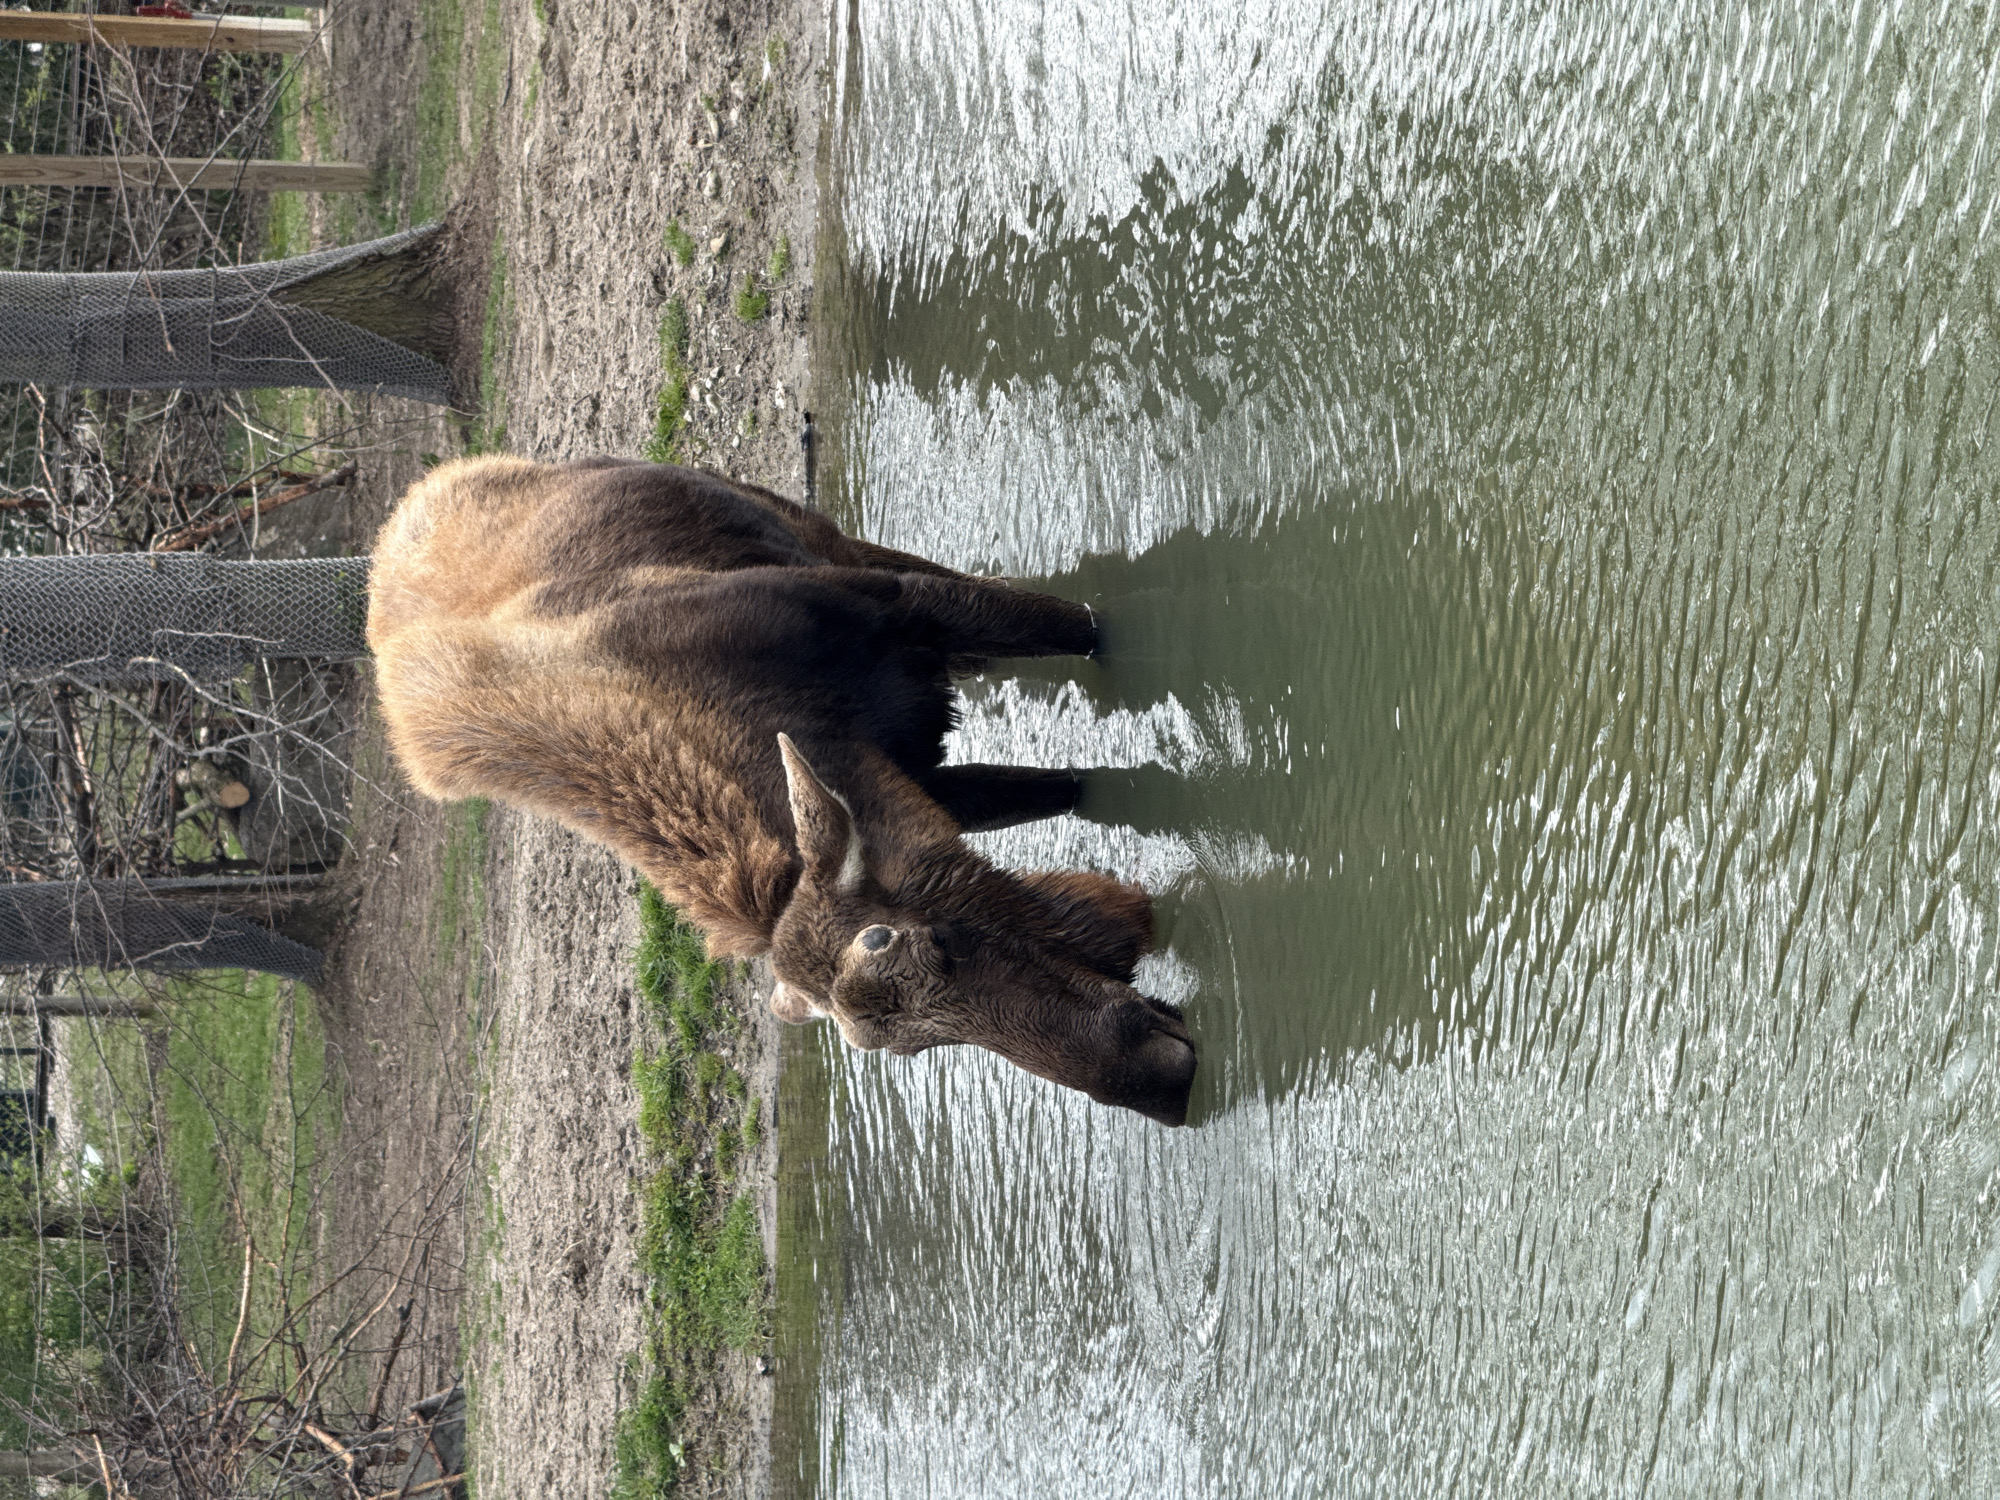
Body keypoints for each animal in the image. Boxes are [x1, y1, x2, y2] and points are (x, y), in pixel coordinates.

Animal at [366, 456, 1197, 1125]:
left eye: (941, 942)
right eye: (910, 1049)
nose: (1159, 1082)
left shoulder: (902, 607)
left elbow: (1082, 631)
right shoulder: (923, 781)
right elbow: (1075, 787)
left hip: (822, 534)